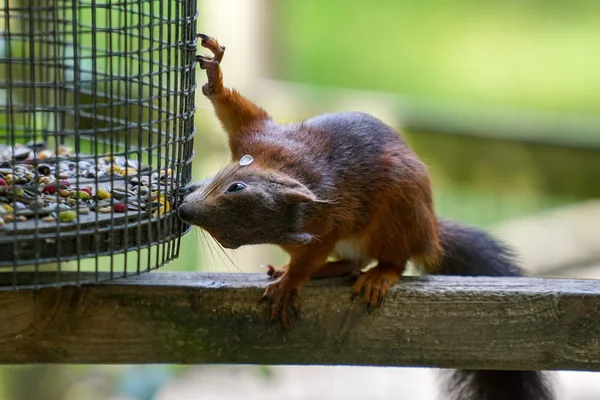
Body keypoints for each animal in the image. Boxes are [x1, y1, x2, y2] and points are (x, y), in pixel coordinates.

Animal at [177, 33, 552, 400]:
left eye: (237, 188)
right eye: (228, 240)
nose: (183, 211)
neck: (286, 168)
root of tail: (431, 234)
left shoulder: (323, 224)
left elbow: (309, 257)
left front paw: (290, 283)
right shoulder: (262, 140)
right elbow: (240, 115)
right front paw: (214, 77)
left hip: (398, 218)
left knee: (393, 260)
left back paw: (378, 276)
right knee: (353, 263)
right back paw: (319, 268)